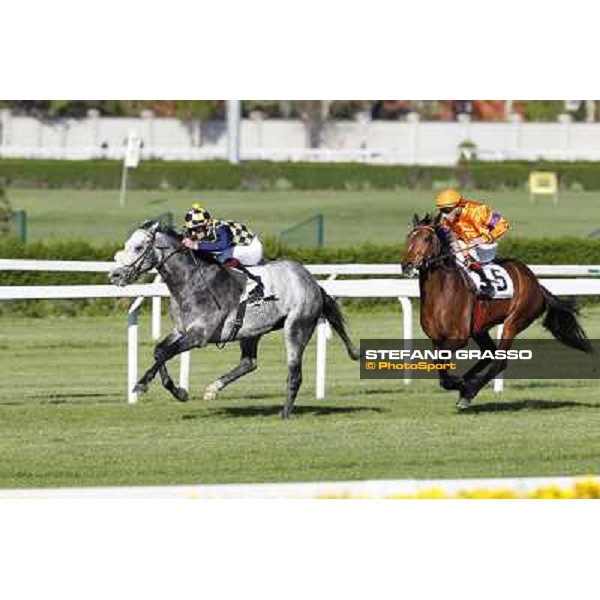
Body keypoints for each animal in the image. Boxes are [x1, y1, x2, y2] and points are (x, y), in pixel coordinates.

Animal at [108, 219, 358, 418]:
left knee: (294, 374)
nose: (114, 275)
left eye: (139, 247)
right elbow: (159, 351)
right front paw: (179, 392)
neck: (192, 283)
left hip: (297, 327)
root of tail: (312, 281)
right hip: (251, 332)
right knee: (249, 363)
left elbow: (165, 353)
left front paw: (141, 384)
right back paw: (213, 389)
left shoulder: (199, 335)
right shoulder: (181, 330)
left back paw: (285, 413)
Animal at [404, 213, 592, 410]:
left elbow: (442, 364)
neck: (442, 291)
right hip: (480, 329)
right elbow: (439, 365)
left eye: (426, 238)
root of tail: (537, 285)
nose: (407, 266)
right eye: (408, 237)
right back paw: (467, 384)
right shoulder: (436, 339)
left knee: (499, 361)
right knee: (490, 353)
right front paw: (458, 382)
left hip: (514, 321)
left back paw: (468, 392)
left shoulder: (459, 337)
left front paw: (460, 384)